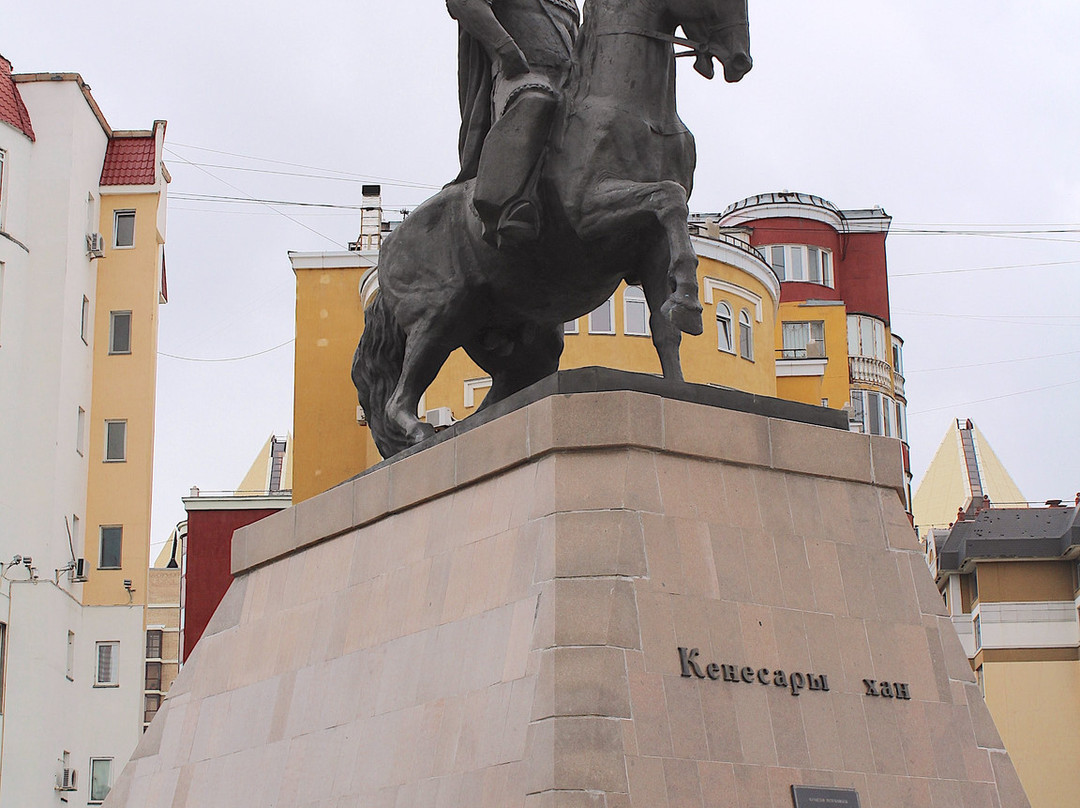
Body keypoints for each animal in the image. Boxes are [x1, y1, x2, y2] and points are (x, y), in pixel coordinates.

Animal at [354, 0, 751, 458]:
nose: (740, 60)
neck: (635, 112)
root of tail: (388, 245)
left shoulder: (652, 248)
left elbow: (664, 324)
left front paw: (679, 362)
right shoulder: (590, 212)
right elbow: (668, 197)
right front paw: (688, 303)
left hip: (521, 337)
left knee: (503, 390)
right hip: (439, 313)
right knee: (400, 396)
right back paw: (420, 434)